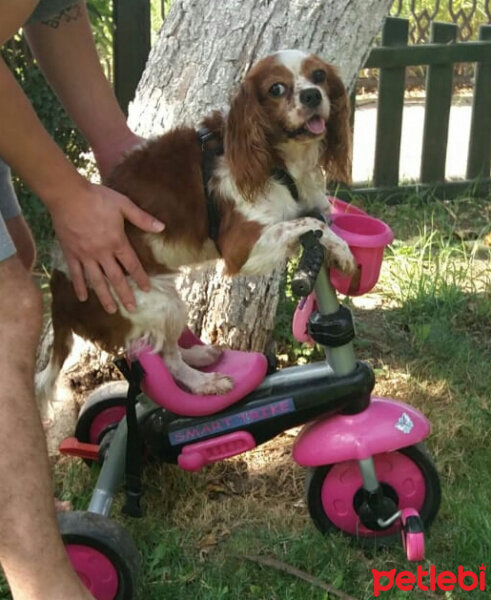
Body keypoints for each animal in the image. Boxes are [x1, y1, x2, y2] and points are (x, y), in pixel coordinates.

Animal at [36, 50, 356, 398]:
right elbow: (308, 223)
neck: (277, 160)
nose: (312, 95)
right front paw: (344, 253)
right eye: (276, 89)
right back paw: (204, 382)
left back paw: (200, 354)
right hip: (158, 302)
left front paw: (345, 254)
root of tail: (59, 290)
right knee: (167, 359)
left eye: (319, 76)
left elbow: (324, 222)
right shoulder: (241, 247)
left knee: (166, 347)